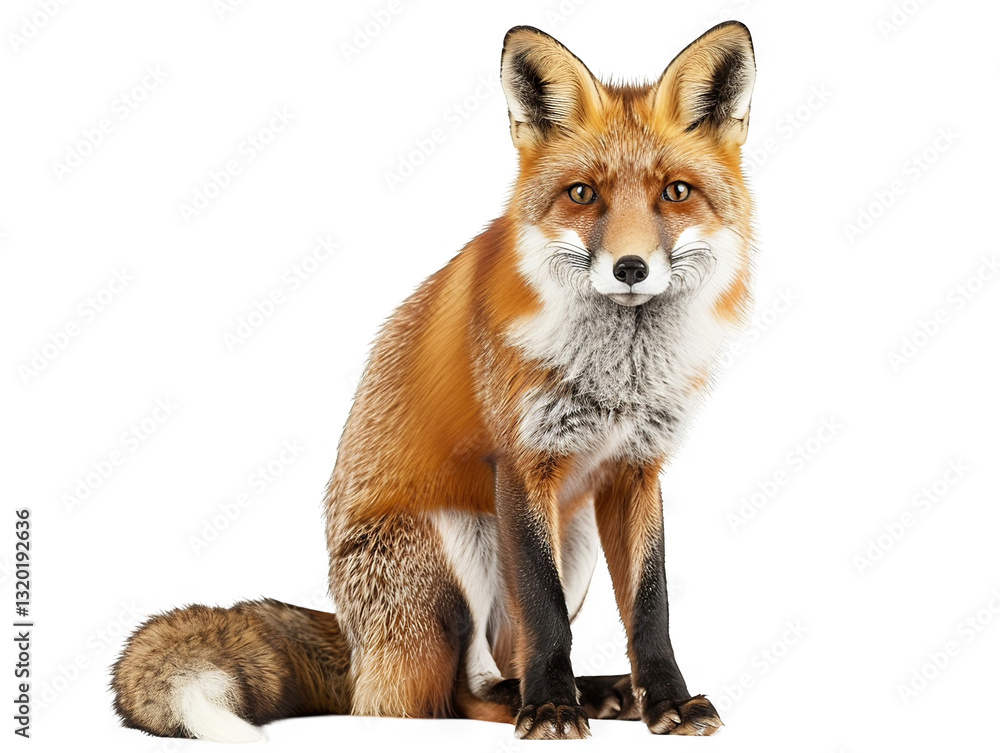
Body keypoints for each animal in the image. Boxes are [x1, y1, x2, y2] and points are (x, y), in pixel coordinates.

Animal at [112, 22, 757, 741]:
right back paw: (535, 700)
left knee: (498, 660)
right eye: (582, 194)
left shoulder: (636, 469)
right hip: (454, 537)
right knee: (451, 694)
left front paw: (667, 700)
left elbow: (651, 608)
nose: (631, 267)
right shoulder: (520, 461)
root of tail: (358, 649)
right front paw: (551, 709)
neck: (619, 374)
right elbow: (544, 609)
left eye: (675, 192)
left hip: (577, 535)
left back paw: (601, 692)